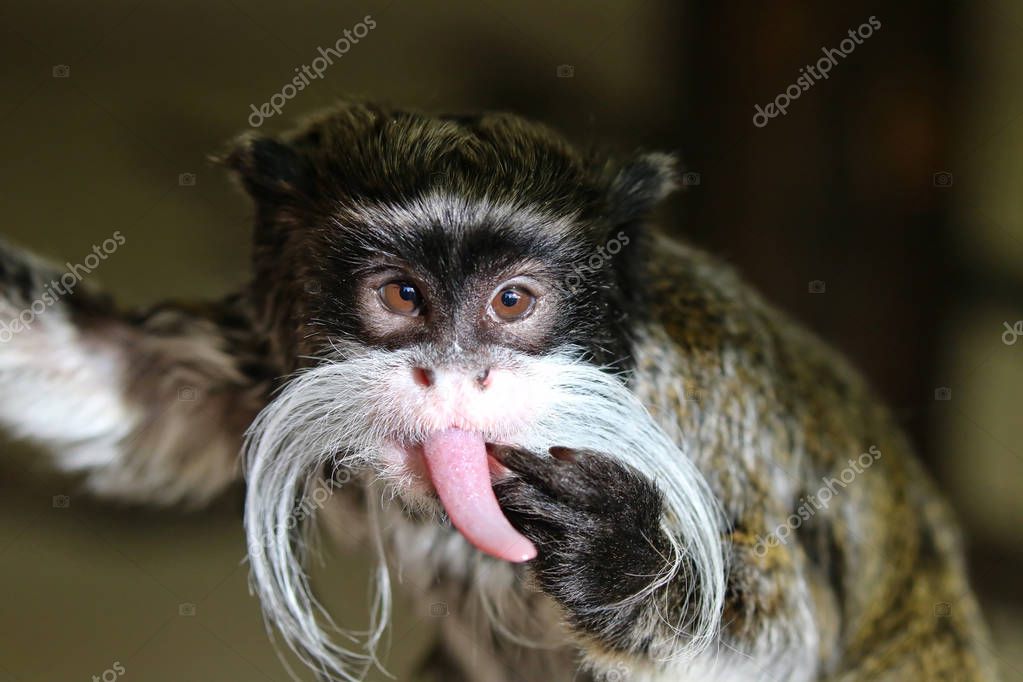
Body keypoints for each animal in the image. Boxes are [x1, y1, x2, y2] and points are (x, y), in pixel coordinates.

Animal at [0, 100, 999, 682]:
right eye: (403, 296)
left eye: (511, 302)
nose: (454, 378)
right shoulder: (271, 373)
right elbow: (116, 383)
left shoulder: (703, 417)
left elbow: (783, 641)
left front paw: (619, 560)